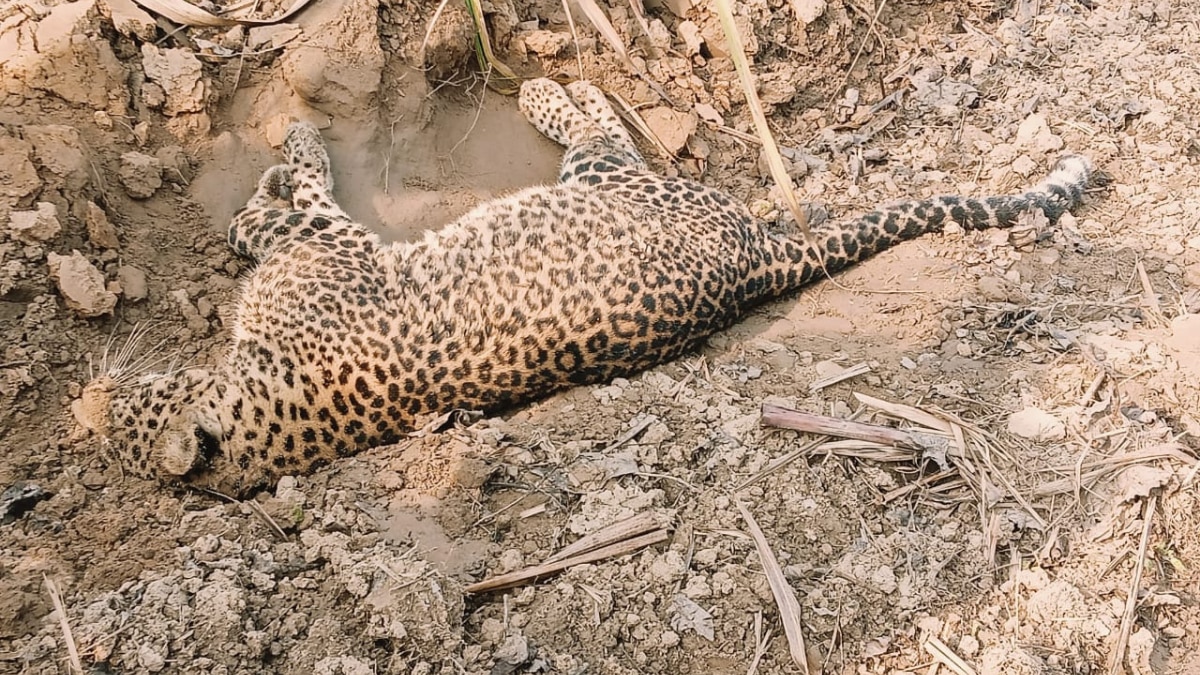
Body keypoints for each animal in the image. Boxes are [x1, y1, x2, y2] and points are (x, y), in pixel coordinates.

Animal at [75, 77, 1099, 494]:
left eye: (126, 404)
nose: (87, 397)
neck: (257, 412)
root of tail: (753, 260)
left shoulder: (329, 244)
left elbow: (274, 207)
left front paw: (281, 153)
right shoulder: (324, 250)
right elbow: (265, 216)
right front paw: (275, 167)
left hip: (607, 180)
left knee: (601, 122)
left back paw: (540, 84)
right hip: (615, 187)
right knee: (603, 130)